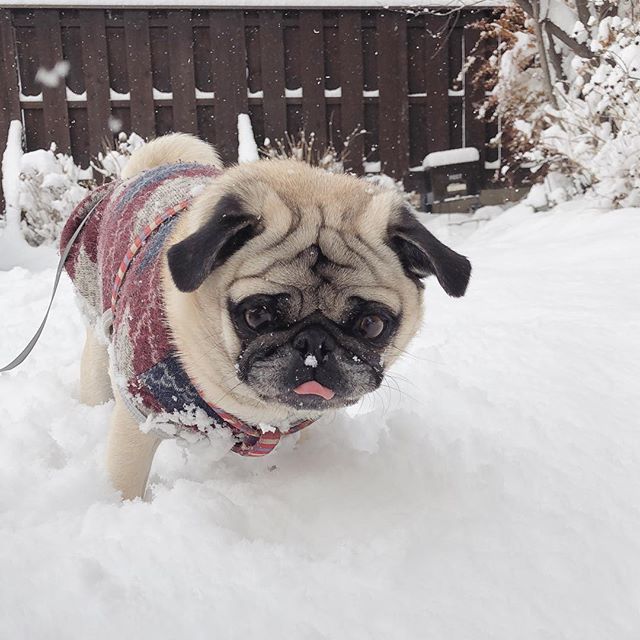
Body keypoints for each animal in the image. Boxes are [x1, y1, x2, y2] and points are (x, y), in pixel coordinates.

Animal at [66, 132, 470, 498]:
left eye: (372, 325)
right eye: (258, 316)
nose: (315, 343)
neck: (256, 411)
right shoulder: (140, 418)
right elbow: (125, 482)